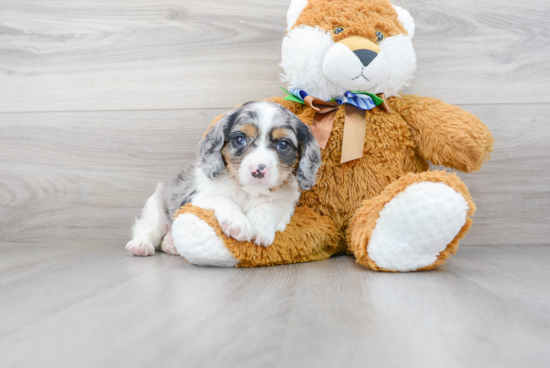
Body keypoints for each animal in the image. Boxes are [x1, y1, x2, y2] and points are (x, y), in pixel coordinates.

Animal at [125, 99, 324, 258]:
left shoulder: (284, 205)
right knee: (148, 230)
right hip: (156, 209)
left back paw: (171, 244)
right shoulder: (199, 197)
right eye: (240, 139)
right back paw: (141, 245)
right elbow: (223, 200)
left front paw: (260, 226)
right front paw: (238, 223)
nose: (258, 170)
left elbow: (268, 207)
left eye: (283, 144)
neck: (249, 191)